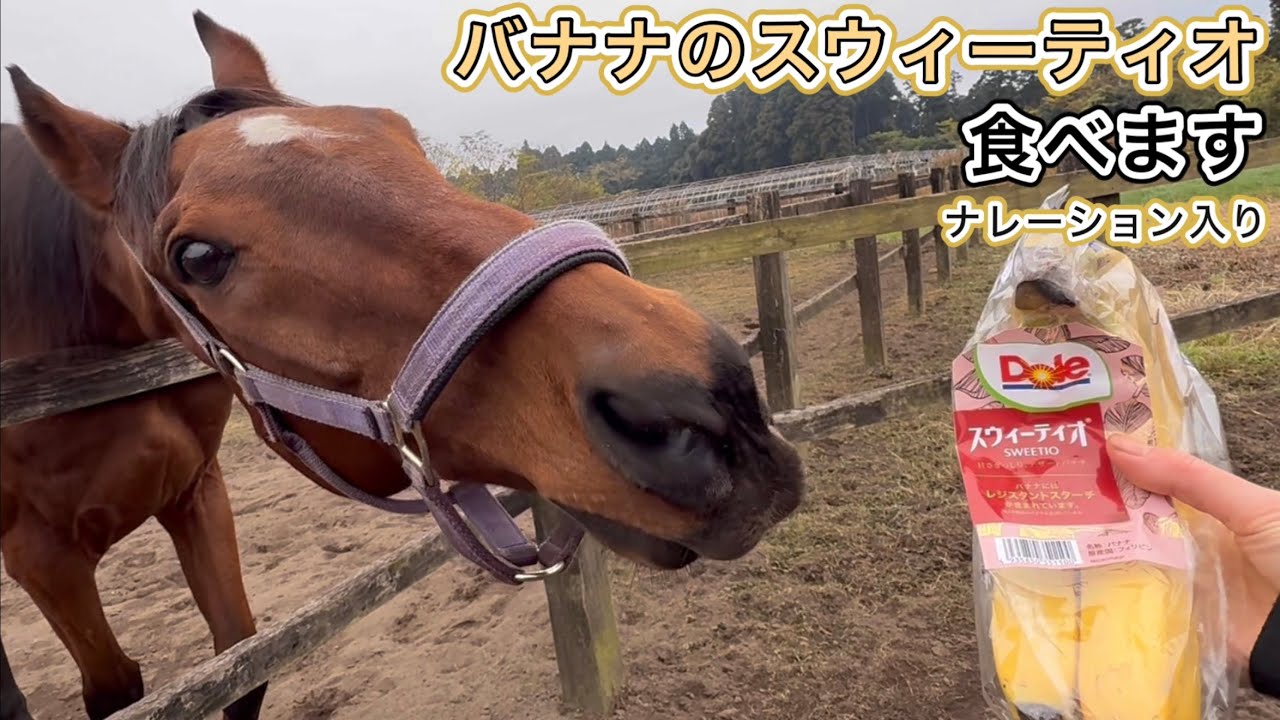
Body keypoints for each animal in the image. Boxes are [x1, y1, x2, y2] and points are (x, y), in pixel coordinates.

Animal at [0, 10, 806, 719]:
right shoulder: (42, 559)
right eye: (197, 257)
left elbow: (241, 668)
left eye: (394, 129)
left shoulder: (197, 493)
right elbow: (119, 689)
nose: (710, 403)